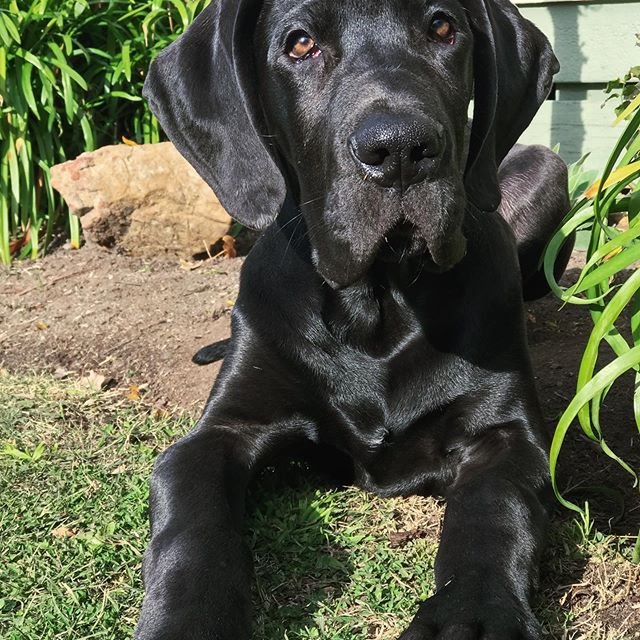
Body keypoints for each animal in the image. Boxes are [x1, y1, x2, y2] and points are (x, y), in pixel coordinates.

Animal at [136, 2, 568, 636]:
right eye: (300, 43)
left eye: (443, 27)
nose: (401, 149)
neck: (376, 304)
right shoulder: (221, 431)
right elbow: (192, 530)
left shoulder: (506, 433)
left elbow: (493, 516)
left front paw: (474, 615)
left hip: (545, 165)